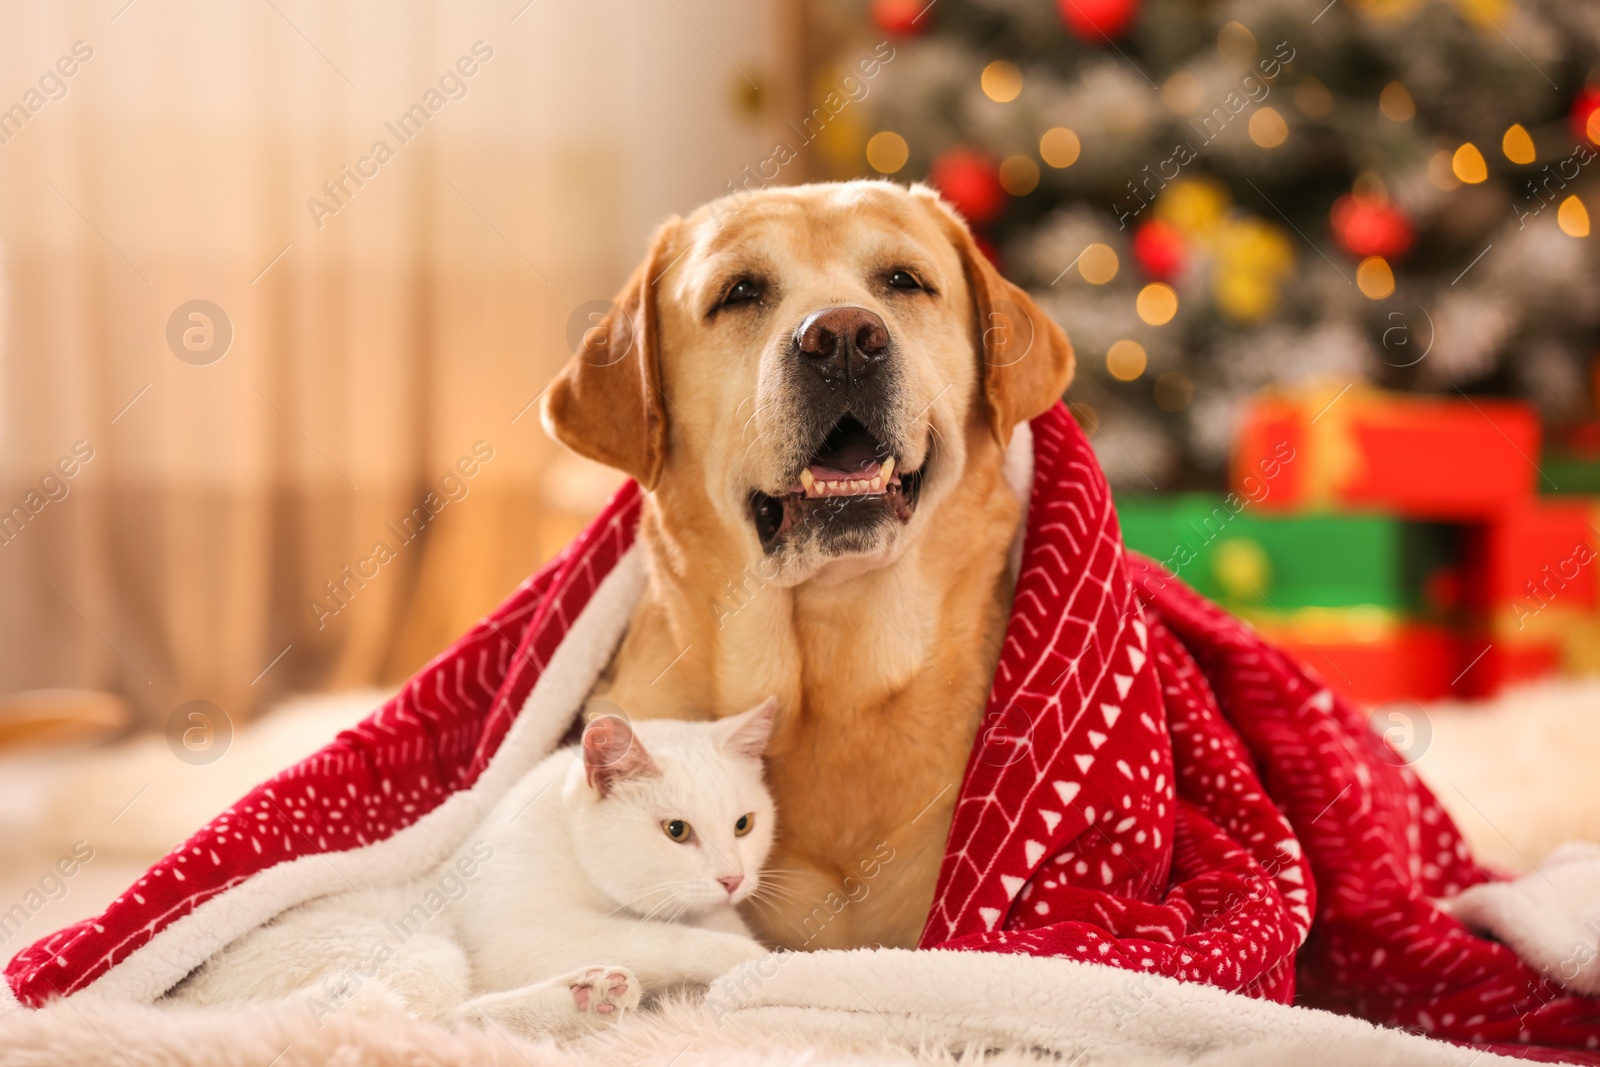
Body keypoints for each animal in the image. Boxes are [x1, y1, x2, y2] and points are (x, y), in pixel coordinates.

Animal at [168, 697, 780, 1036]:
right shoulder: (519, 939)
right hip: (417, 950)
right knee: (419, 1031)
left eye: (743, 825)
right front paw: (752, 959)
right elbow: (661, 938)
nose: (733, 879)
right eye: (676, 831)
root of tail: (186, 1005)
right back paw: (581, 1000)